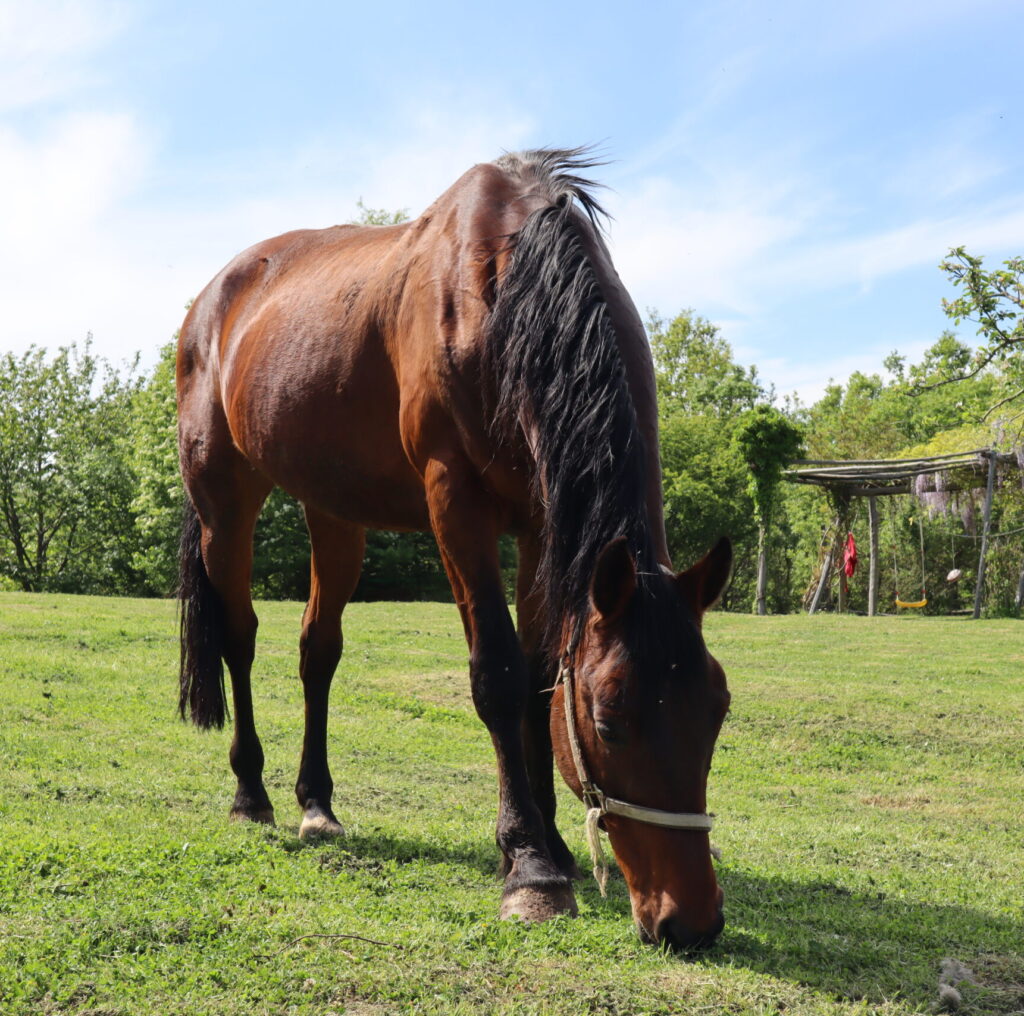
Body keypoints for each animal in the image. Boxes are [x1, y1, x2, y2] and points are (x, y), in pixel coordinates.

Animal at [180, 150, 733, 950]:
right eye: (609, 719)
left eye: (717, 710)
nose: (690, 922)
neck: (506, 294)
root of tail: (209, 303)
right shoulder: (456, 505)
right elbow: (498, 675)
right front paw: (530, 867)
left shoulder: (540, 524)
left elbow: (539, 677)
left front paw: (553, 844)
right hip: (225, 506)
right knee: (239, 639)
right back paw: (251, 794)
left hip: (333, 513)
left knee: (318, 651)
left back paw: (317, 803)